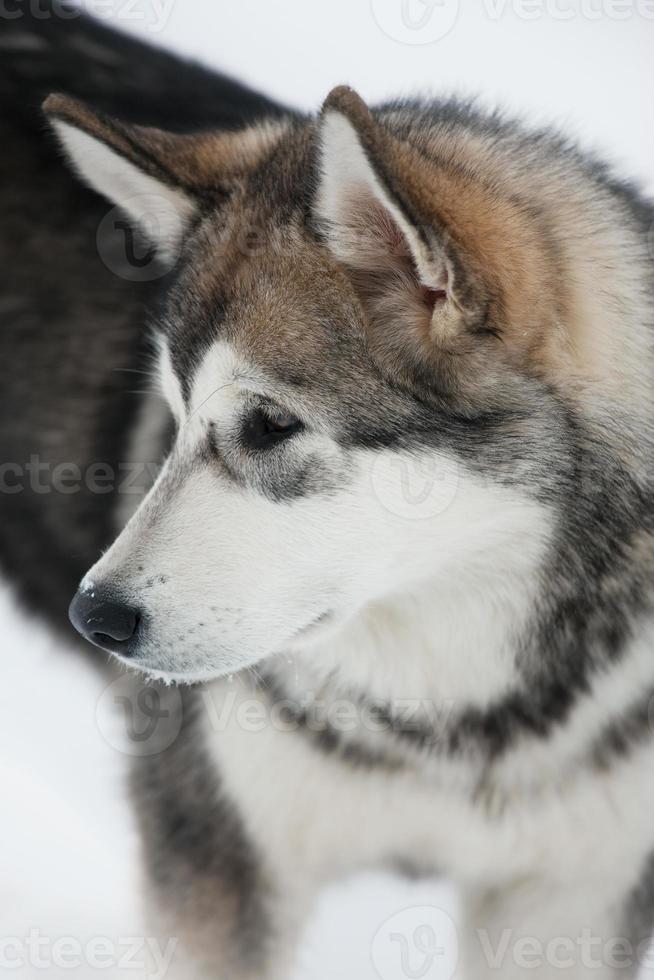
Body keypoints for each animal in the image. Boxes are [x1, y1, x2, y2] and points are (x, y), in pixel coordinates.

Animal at [3, 3, 654, 976]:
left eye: (269, 424)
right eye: (176, 415)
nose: (98, 619)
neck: (460, 719)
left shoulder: (572, 900)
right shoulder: (219, 862)